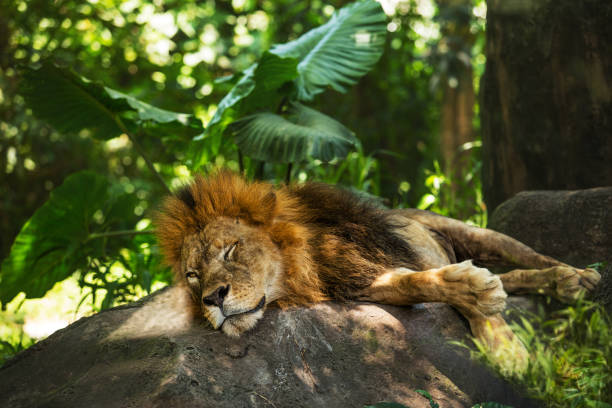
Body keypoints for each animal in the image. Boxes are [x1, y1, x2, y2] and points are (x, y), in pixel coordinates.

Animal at [154, 171, 604, 354]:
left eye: (230, 250)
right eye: (193, 276)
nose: (213, 299)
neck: (306, 263)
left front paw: (504, 346)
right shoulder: (361, 280)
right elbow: (418, 282)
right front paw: (485, 306)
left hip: (476, 232)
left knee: (530, 256)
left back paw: (578, 276)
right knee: (517, 276)